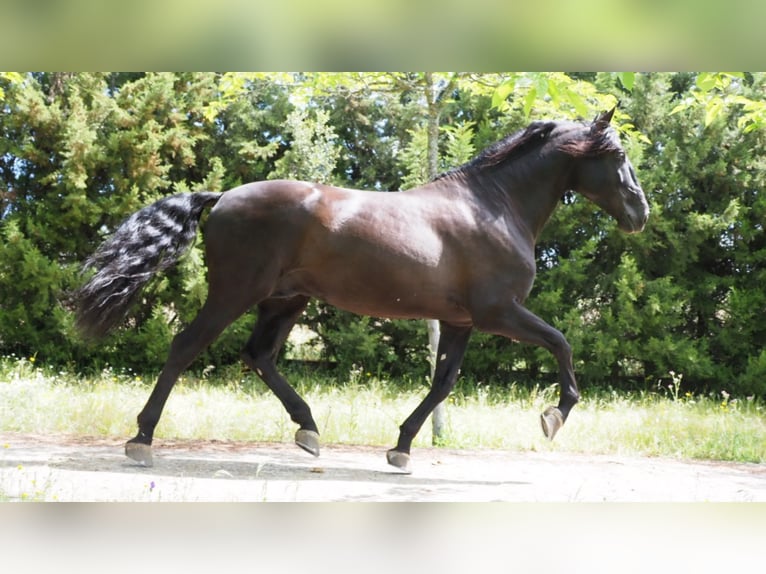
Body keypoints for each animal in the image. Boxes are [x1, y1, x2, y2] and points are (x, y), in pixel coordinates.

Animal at [73, 108, 648, 472]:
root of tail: (223, 196)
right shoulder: (499, 313)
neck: (493, 206)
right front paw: (555, 415)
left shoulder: (461, 321)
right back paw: (142, 440)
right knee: (186, 347)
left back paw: (308, 431)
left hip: (285, 300)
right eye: (617, 153)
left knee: (259, 356)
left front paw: (402, 449)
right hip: (235, 293)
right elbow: (562, 344)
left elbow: (443, 384)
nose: (640, 213)